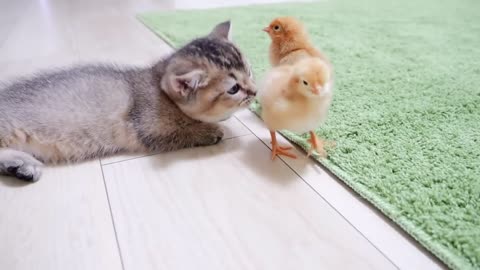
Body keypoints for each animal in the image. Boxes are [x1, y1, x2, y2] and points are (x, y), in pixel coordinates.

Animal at [0, 20, 256, 181]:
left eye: (250, 71)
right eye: (234, 89)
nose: (254, 92)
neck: (157, 83)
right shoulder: (151, 129)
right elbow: (182, 132)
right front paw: (210, 131)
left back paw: (20, 166)